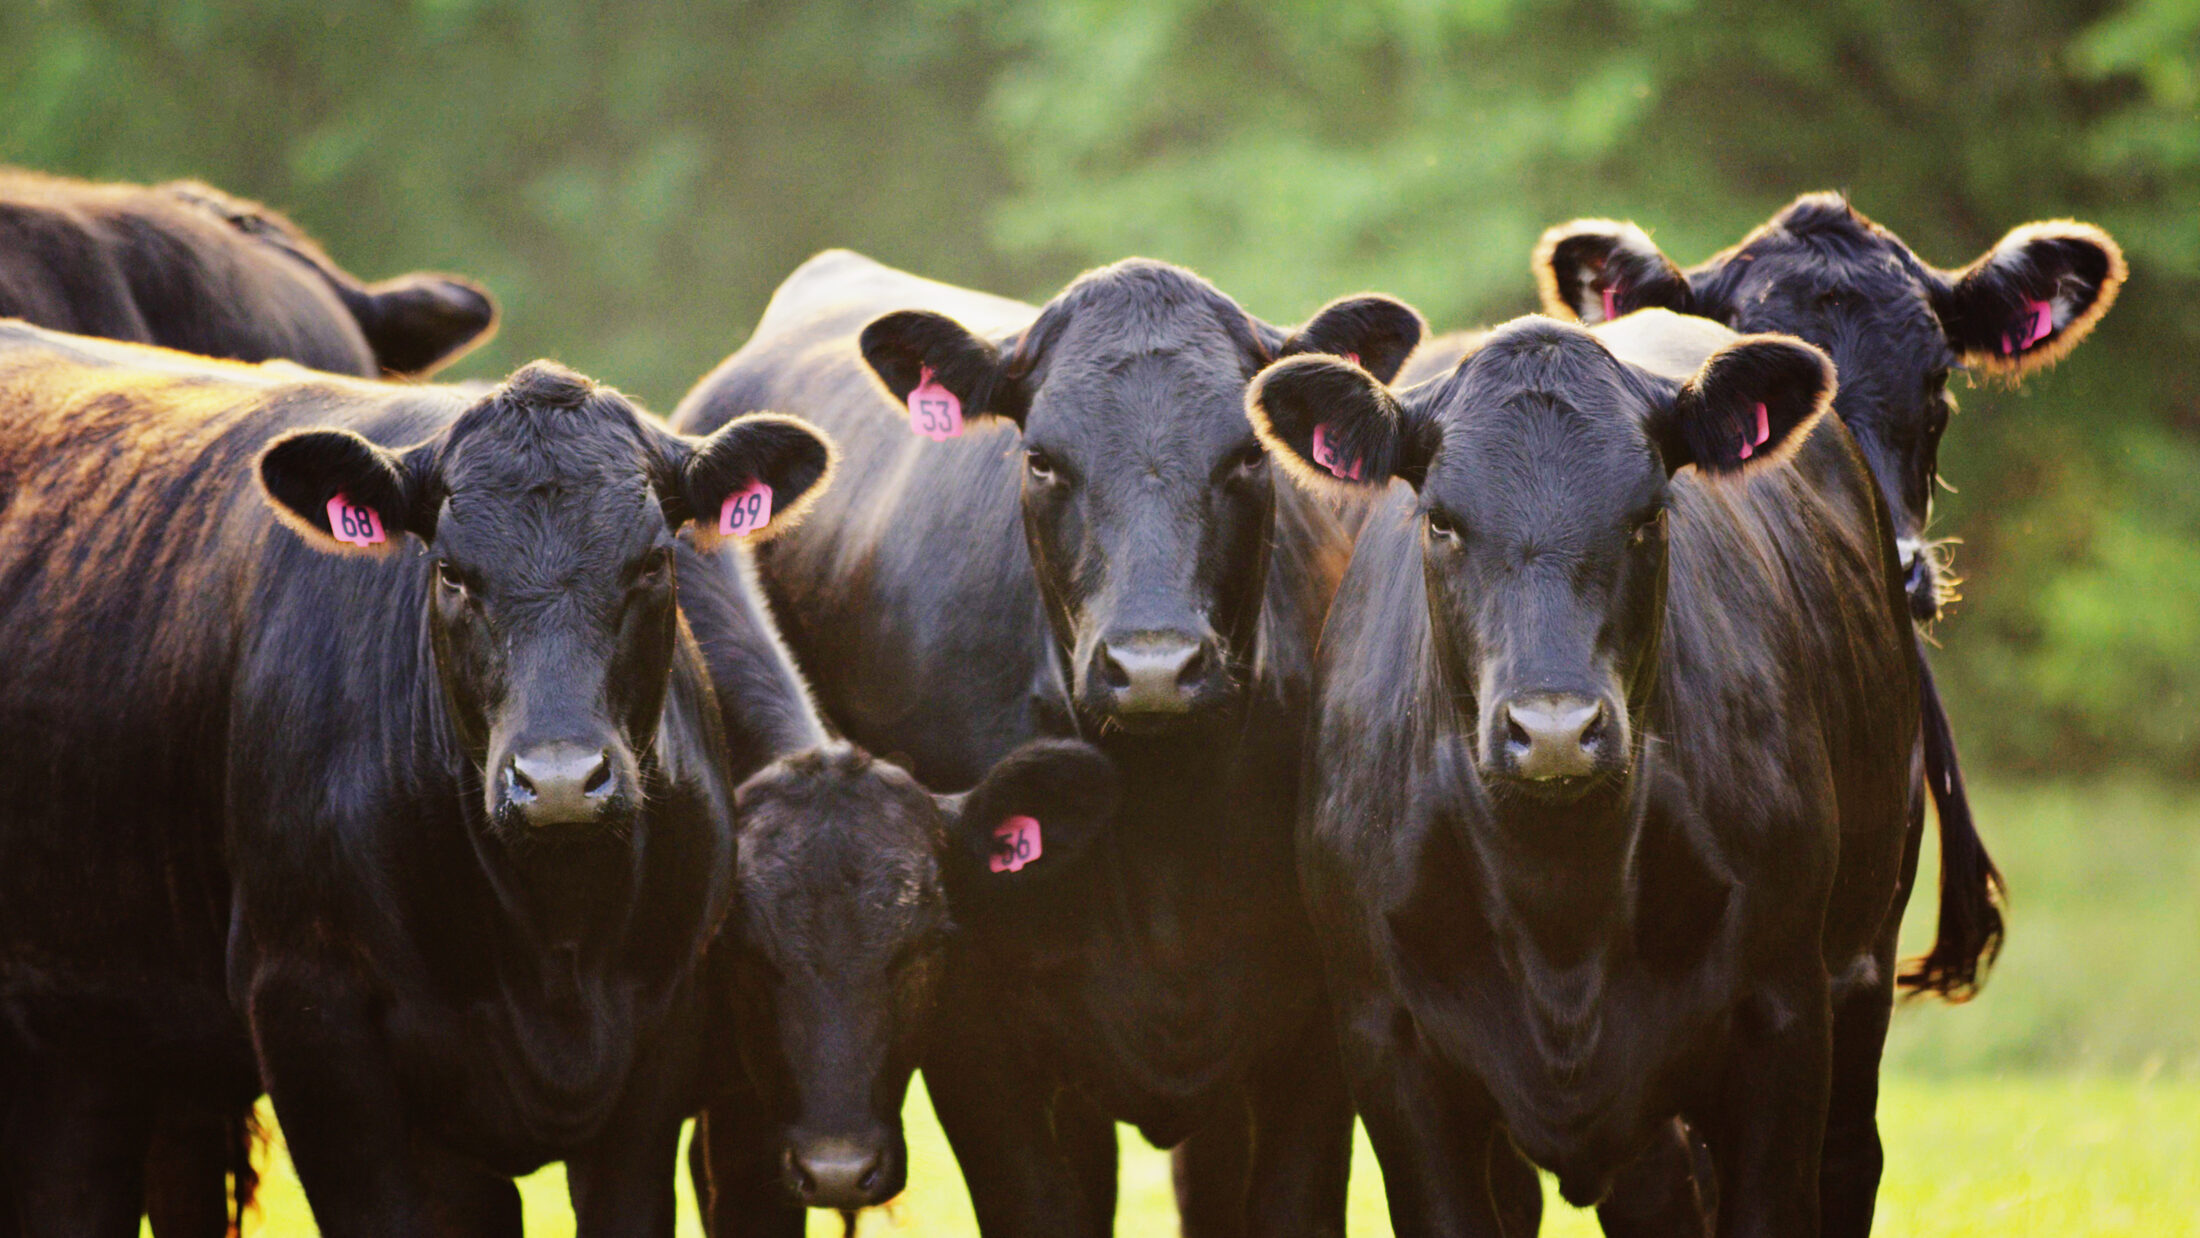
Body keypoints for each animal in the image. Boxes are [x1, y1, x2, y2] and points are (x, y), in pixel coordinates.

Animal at [0, 323, 830, 1236]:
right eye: (452, 572)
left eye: (650, 563)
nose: (560, 781)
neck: (555, 950)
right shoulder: (309, 1016)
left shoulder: (660, 1036)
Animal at [670, 249, 1424, 1237]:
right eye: (1041, 460)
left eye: (1249, 454)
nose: (1153, 665)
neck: (1165, 838)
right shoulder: (979, 1043)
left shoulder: (1312, 1037)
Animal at [1250, 310, 1936, 1237]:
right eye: (1441, 521)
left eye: (1646, 516)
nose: (1553, 732)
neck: (1560, 910)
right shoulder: (1389, 1047)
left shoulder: (1784, 1021)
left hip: (1863, 963)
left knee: (1850, 1161)